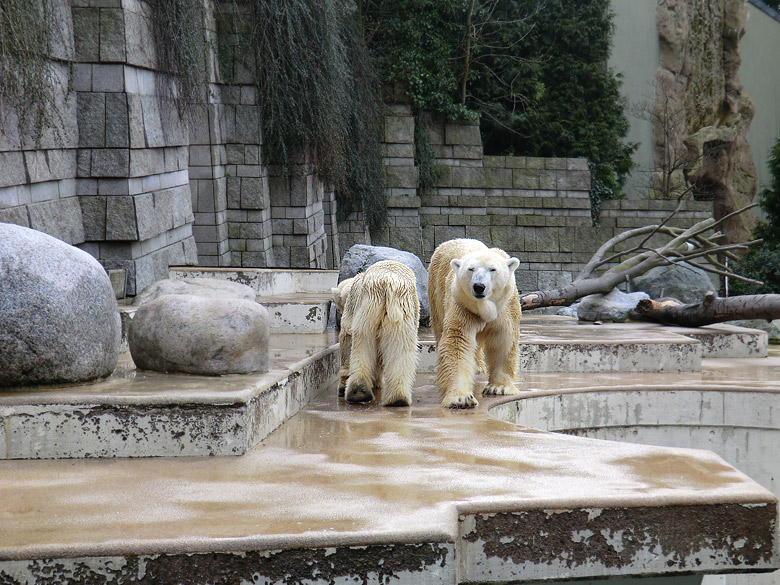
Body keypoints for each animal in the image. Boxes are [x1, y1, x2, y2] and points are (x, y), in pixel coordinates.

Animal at [332, 260, 424, 406]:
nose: (338, 310)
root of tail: (388, 283)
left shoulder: (352, 305)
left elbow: (347, 337)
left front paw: (342, 387)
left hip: (369, 305)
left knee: (362, 343)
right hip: (400, 312)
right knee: (400, 348)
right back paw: (394, 398)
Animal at [430, 237, 520, 406]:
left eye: (492, 269)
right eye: (471, 269)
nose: (479, 286)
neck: (483, 307)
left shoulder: (506, 307)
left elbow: (503, 339)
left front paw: (499, 387)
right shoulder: (462, 305)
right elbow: (457, 342)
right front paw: (461, 398)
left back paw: (478, 368)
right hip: (436, 292)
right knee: (439, 329)